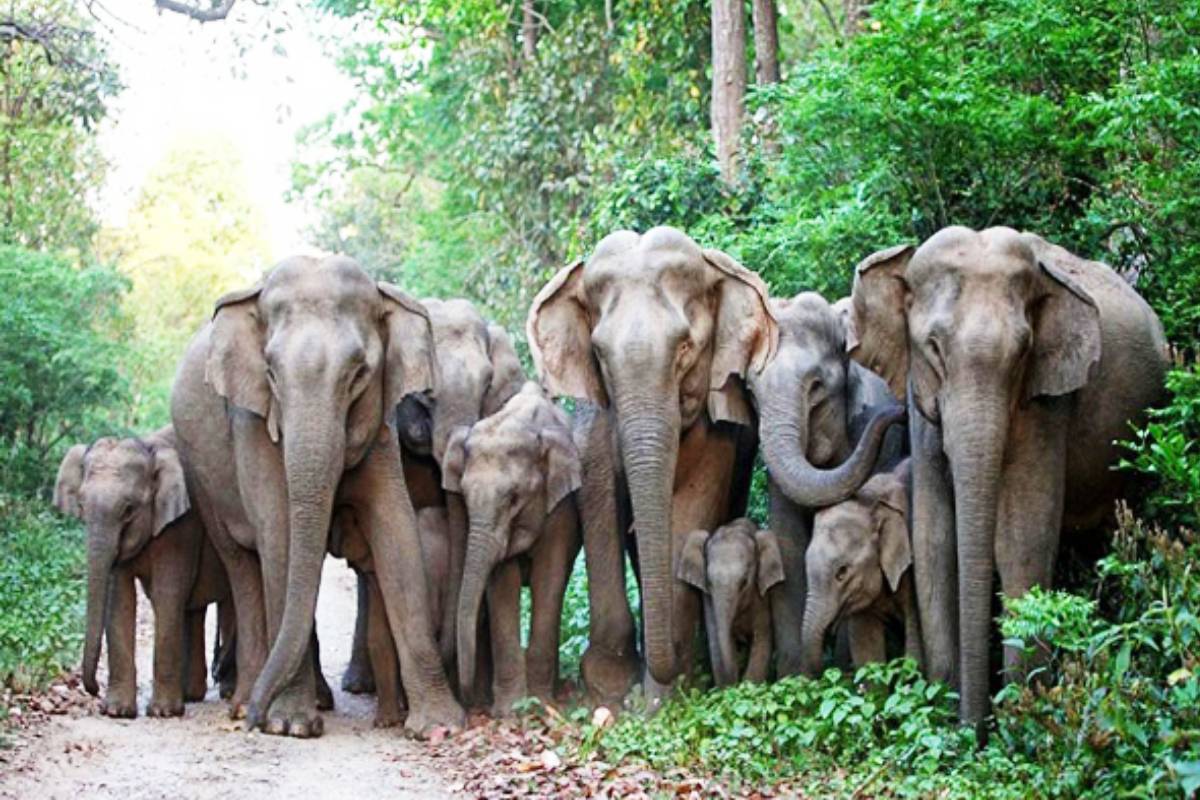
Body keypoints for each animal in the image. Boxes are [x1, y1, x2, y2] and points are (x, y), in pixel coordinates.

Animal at [53, 427, 229, 718]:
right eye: (81, 505)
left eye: (128, 510)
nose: (93, 690)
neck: (148, 448)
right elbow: (120, 598)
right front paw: (116, 711)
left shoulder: (182, 524)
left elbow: (168, 592)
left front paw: (163, 712)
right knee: (194, 609)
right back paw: (192, 695)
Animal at [443, 382, 582, 715]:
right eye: (464, 495)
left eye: (513, 498)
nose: (469, 704)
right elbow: (502, 583)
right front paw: (510, 711)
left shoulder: (561, 505)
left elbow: (550, 576)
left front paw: (540, 704)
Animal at [676, 518, 783, 687]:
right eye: (709, 582)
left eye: (744, 582)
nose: (735, 683)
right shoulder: (708, 600)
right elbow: (715, 640)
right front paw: (729, 688)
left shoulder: (762, 596)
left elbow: (762, 638)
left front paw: (746, 687)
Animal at [746, 292, 906, 677]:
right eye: (752, 394)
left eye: (816, 385)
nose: (901, 414)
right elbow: (788, 540)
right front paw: (797, 677)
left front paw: (844, 669)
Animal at [847, 226, 1168, 728]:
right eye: (933, 347)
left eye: (1022, 352)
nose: (974, 727)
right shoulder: (922, 398)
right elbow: (935, 537)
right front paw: (945, 713)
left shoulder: (1049, 399)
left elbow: (1021, 536)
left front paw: (1020, 717)